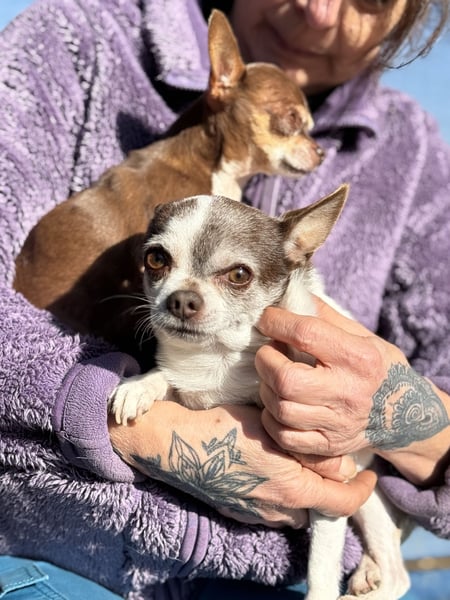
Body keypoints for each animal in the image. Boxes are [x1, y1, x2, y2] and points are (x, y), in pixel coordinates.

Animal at [109, 188, 410, 600]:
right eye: (156, 259)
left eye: (239, 275)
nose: (182, 299)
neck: (220, 359)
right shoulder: (191, 388)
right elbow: (167, 378)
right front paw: (138, 387)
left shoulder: (331, 492)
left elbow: (321, 568)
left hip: (368, 494)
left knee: (397, 572)